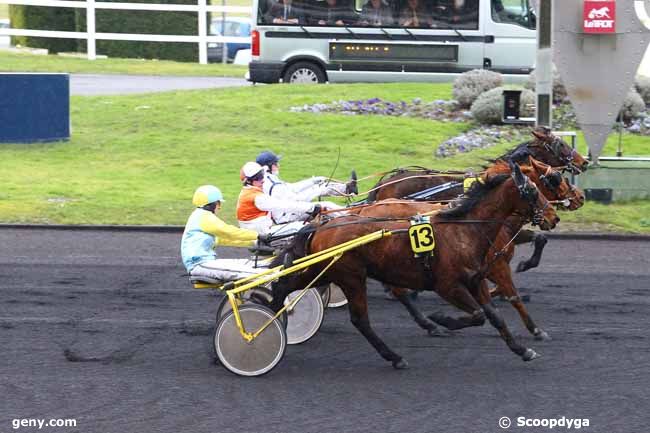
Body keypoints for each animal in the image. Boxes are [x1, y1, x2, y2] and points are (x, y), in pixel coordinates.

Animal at [270, 162, 560, 368]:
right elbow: (479, 314)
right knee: (360, 319)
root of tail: (323, 225)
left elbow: (495, 317)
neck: (464, 230)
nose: (553, 216)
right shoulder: (448, 285)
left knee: (286, 284)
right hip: (349, 276)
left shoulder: (475, 281)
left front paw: (523, 350)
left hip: (327, 271)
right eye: (533, 190)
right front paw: (442, 319)